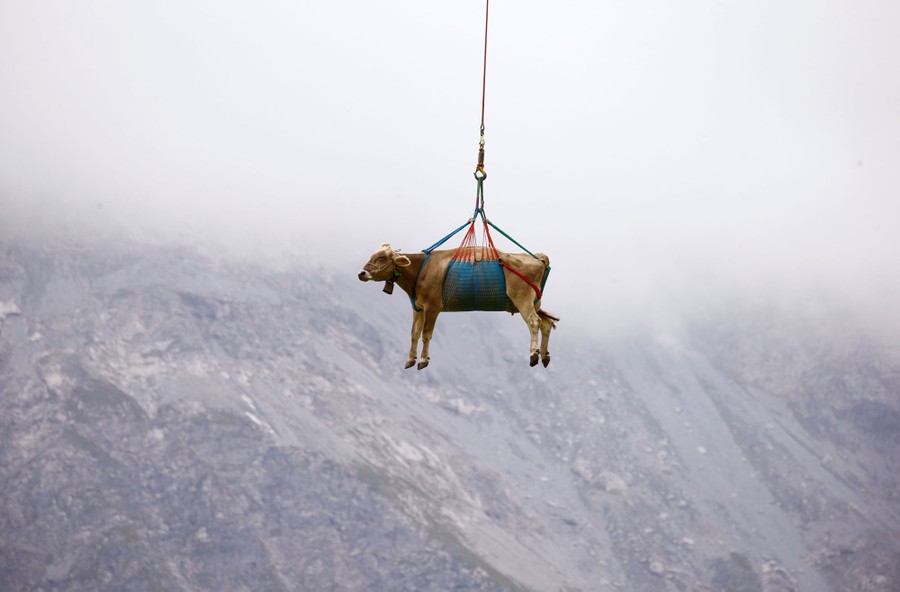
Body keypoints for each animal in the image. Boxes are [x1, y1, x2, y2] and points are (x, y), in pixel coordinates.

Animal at [358, 243, 558, 369]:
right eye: (373, 256)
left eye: (381, 257)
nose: (361, 273)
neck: (421, 270)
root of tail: (538, 258)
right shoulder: (418, 307)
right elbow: (414, 333)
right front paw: (410, 359)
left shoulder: (433, 306)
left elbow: (426, 334)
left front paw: (423, 360)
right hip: (534, 302)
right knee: (546, 323)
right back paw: (544, 355)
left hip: (522, 298)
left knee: (533, 322)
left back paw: (534, 354)